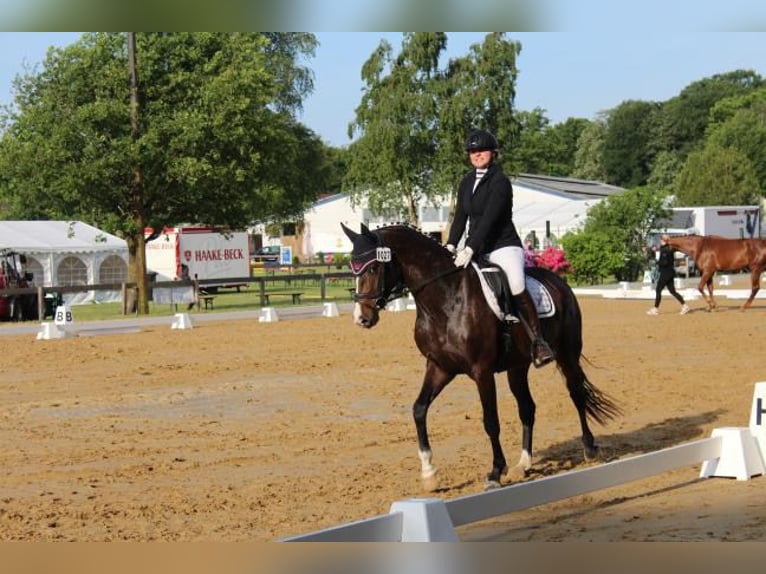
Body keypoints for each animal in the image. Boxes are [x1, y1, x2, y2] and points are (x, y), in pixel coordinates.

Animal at [340, 224, 616, 490]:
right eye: (353, 269)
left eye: (374, 267)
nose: (361, 318)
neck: (445, 298)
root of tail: (559, 281)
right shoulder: (439, 367)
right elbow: (419, 409)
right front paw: (429, 473)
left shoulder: (481, 371)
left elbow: (490, 421)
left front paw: (495, 472)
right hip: (517, 367)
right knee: (527, 407)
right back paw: (523, 464)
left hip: (567, 354)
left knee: (576, 394)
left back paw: (589, 448)